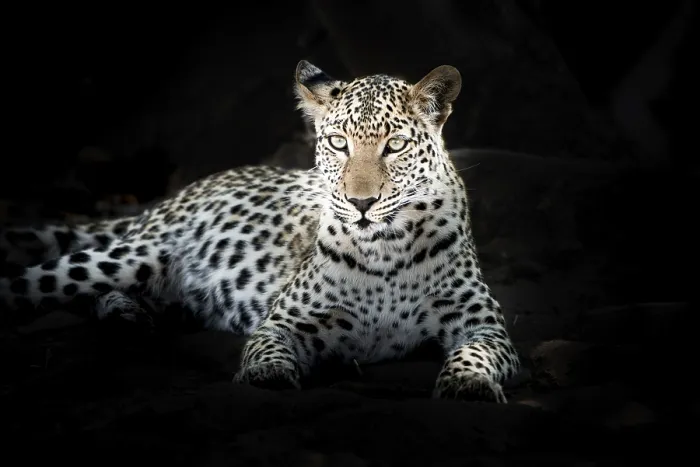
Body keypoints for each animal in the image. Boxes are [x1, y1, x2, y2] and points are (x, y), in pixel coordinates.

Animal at [0, 60, 521, 402]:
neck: (384, 249)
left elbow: (477, 353)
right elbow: (266, 347)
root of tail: (192, 187)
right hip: (133, 254)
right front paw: (267, 375)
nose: (361, 203)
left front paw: (468, 383)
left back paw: (132, 316)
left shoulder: (486, 327)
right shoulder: (284, 321)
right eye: (338, 143)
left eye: (394, 146)